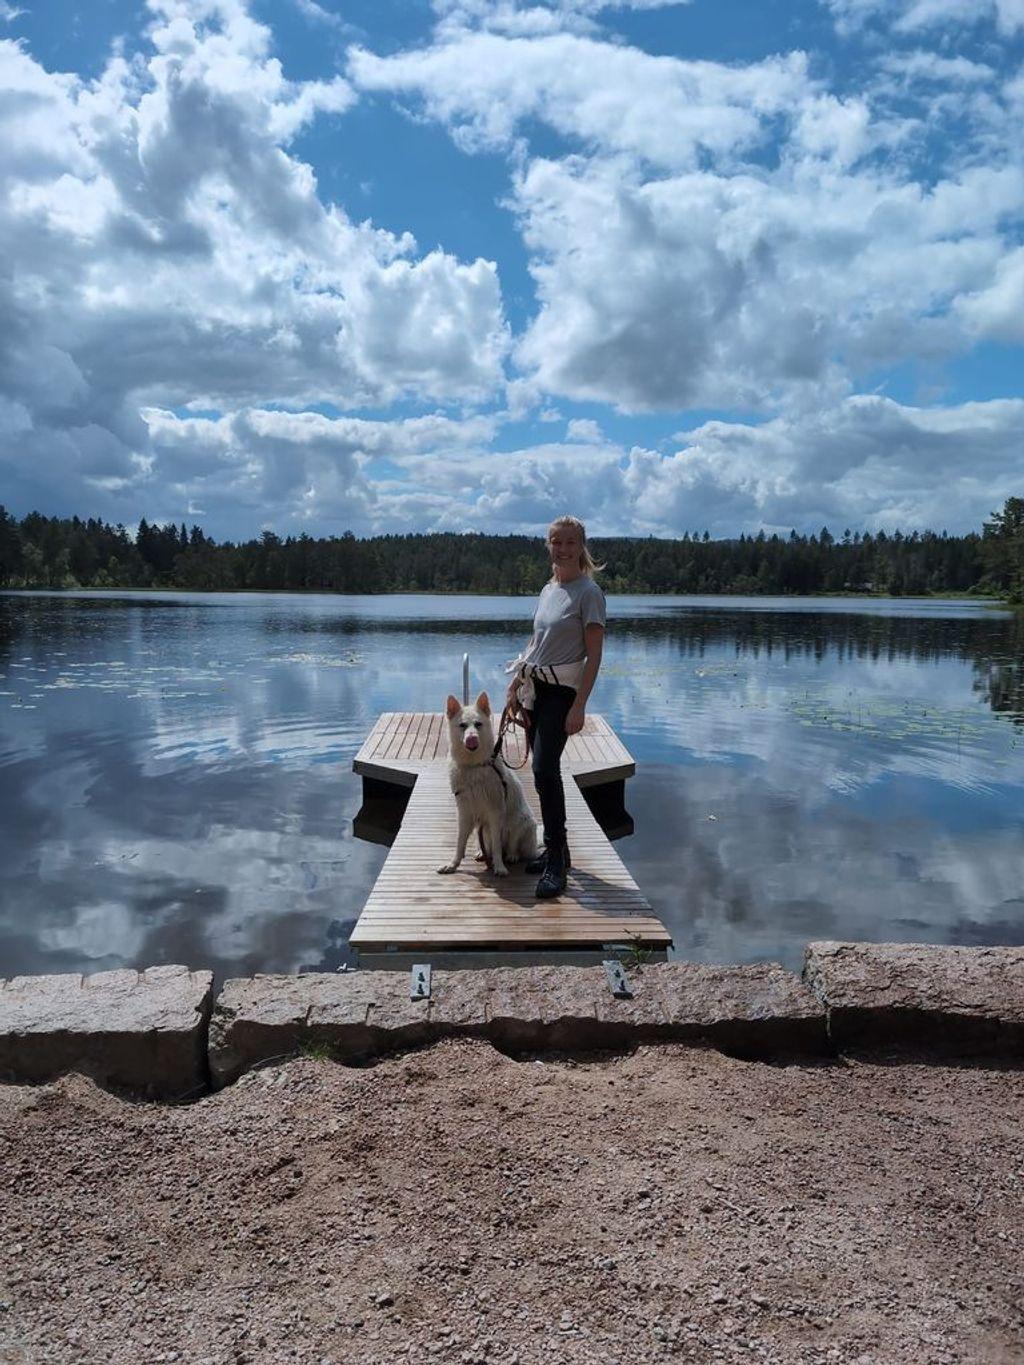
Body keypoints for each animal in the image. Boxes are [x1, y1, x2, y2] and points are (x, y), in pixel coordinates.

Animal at [436, 693, 540, 873]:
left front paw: (499, 867)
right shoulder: (464, 813)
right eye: (462, 725)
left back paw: (511, 856)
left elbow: (497, 846)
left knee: (511, 846)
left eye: (478, 724)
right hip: (484, 829)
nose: (471, 738)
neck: (474, 766)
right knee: (486, 844)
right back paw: (481, 853)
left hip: (522, 821)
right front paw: (453, 864)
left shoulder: (495, 814)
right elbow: (460, 843)